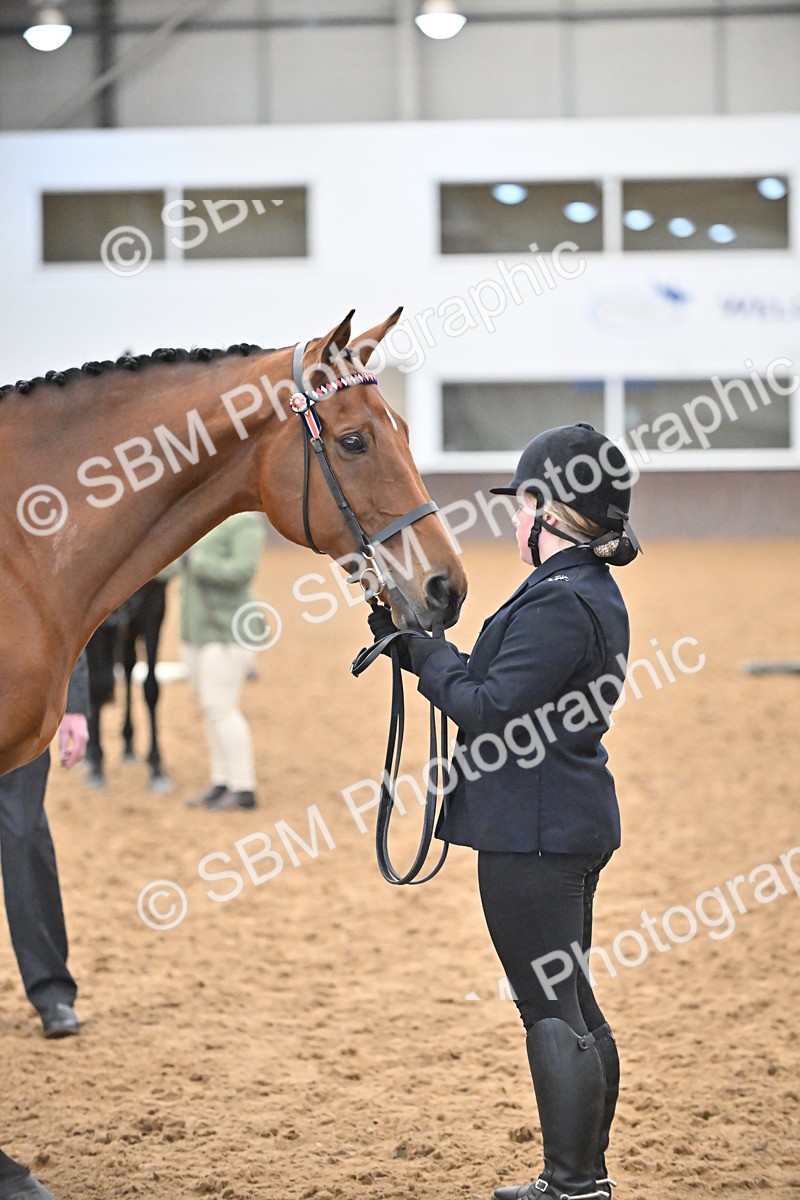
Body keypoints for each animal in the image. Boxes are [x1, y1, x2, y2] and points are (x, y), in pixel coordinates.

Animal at [84, 578, 171, 791]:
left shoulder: (155, 606)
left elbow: (151, 688)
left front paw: (156, 766)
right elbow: (97, 685)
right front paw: (97, 765)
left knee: (129, 665)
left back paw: (129, 743)